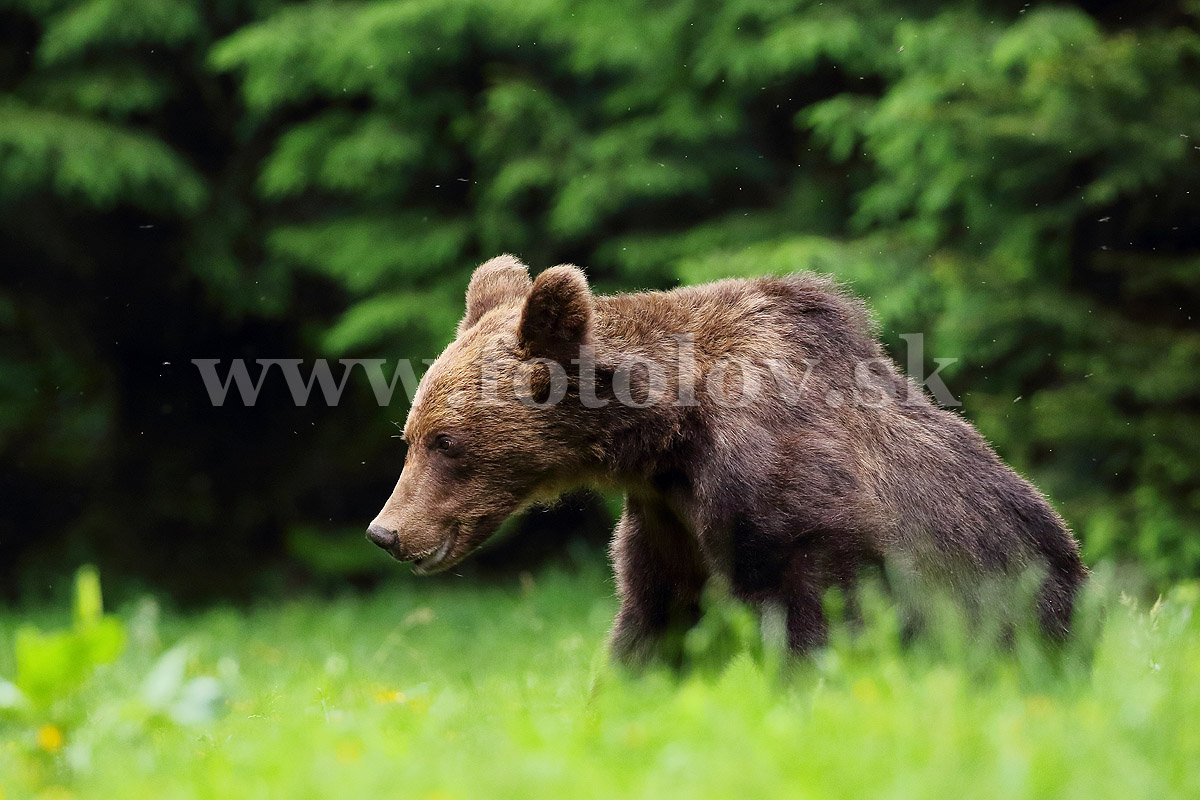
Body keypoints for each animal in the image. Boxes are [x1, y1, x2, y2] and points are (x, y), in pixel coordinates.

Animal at [364, 256, 1089, 662]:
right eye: (410, 435)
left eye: (447, 441)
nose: (386, 531)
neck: (670, 434)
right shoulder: (668, 517)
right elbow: (654, 618)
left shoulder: (795, 510)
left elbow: (814, 620)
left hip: (1021, 585)